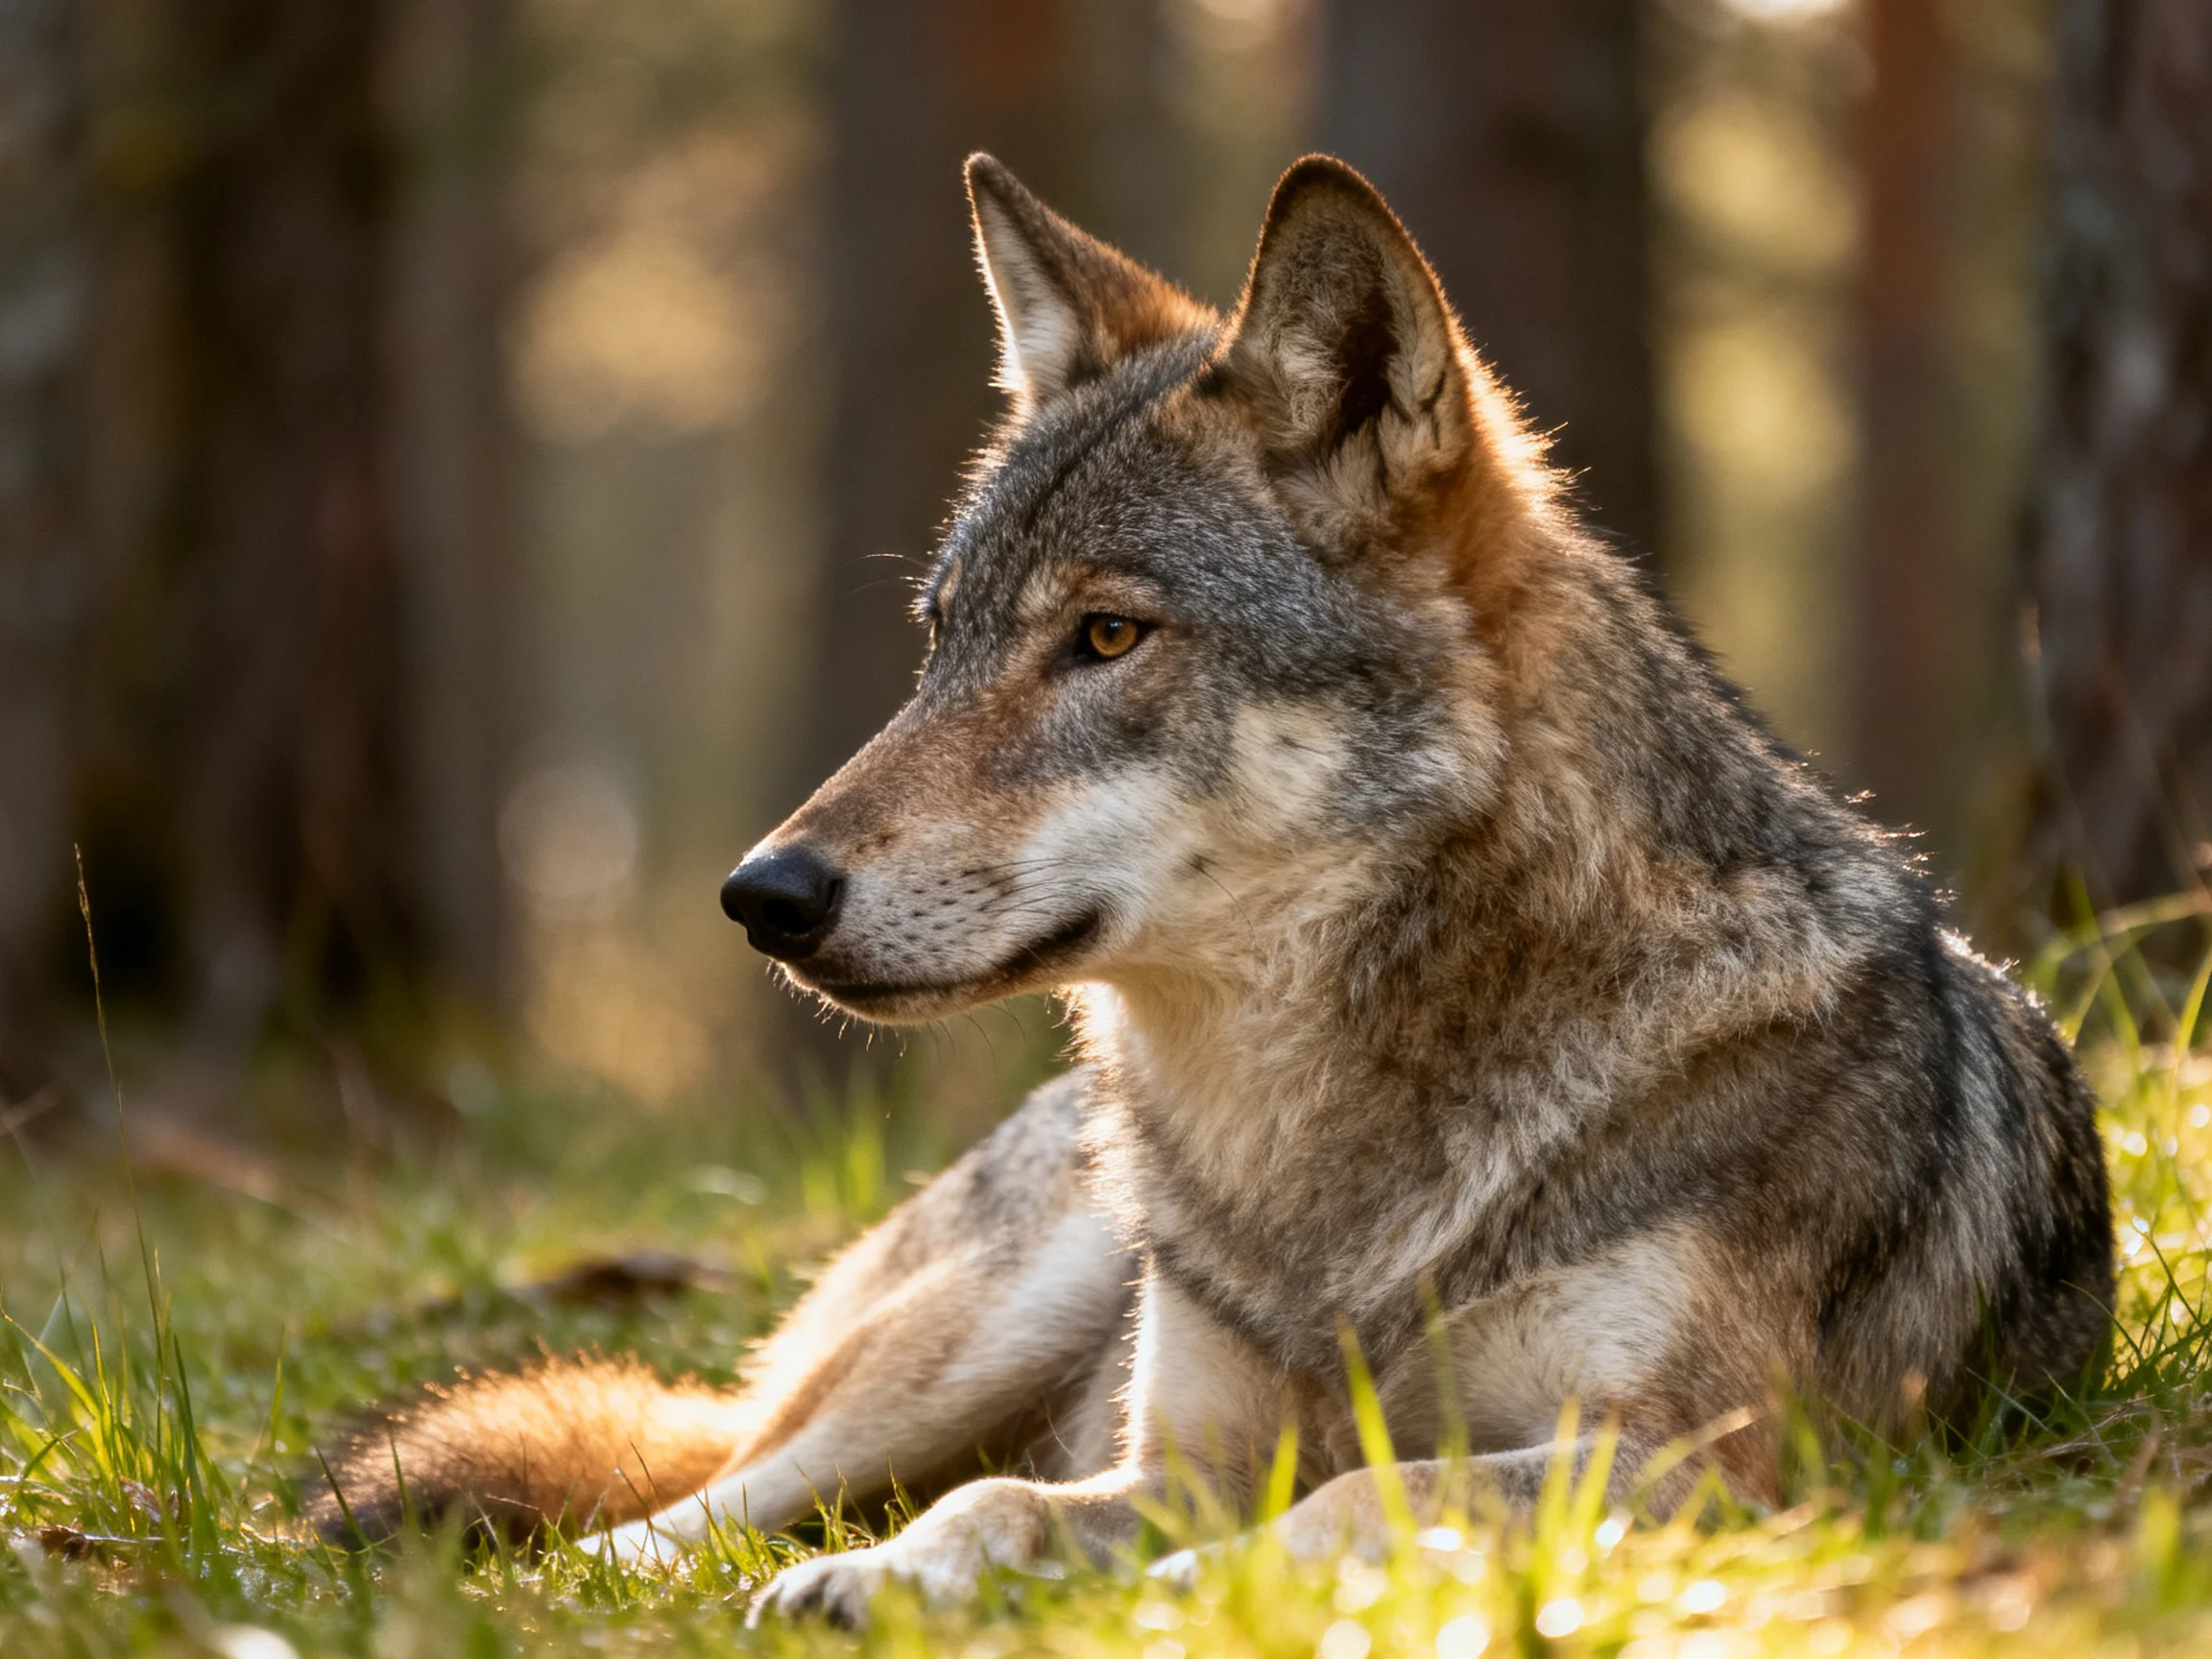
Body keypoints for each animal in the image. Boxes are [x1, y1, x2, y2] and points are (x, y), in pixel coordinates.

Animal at [312, 153, 2112, 1622]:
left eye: (1106, 635)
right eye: (941, 640)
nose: (762, 893)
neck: (1322, 1162)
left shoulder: (1694, 1464)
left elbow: (1365, 1490)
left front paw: (1190, 1589)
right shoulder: (1169, 1455)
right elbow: (1003, 1501)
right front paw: (890, 1580)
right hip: (990, 1319)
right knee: (700, 1490)